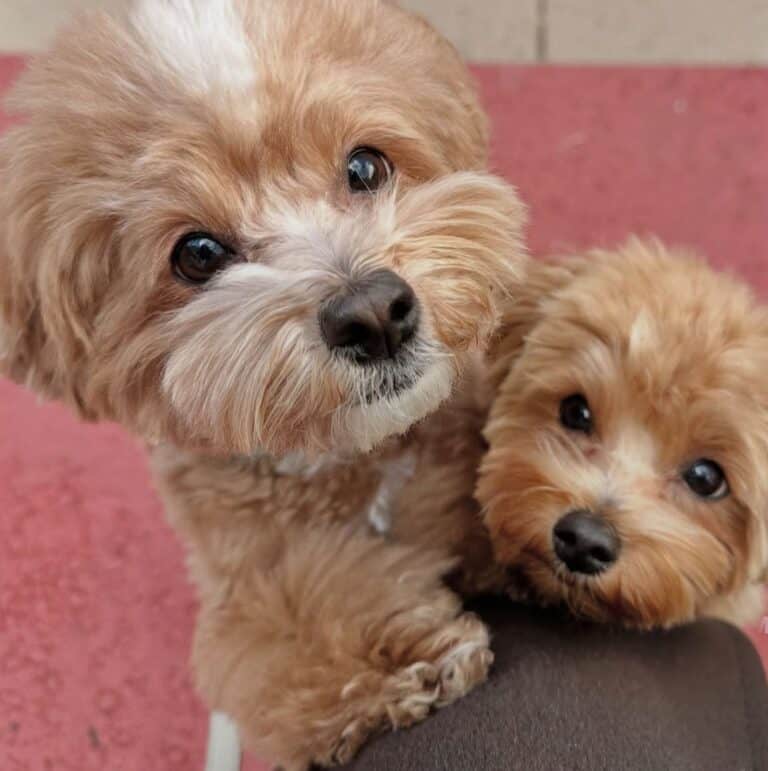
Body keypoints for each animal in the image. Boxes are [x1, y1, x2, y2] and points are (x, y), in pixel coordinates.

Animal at [0, 1, 528, 771]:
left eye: (365, 165)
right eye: (197, 253)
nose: (374, 312)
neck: (357, 462)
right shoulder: (246, 577)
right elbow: (292, 610)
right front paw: (392, 667)